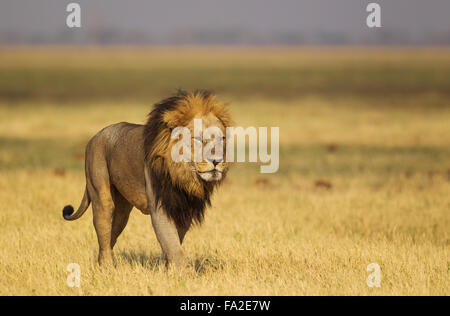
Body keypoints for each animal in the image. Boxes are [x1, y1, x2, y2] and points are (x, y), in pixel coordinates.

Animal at [61, 90, 230, 268]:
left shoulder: (183, 208)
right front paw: (185, 272)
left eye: (222, 139)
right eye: (197, 139)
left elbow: (172, 244)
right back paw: (107, 267)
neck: (184, 176)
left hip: (122, 210)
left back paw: (104, 264)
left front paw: (165, 268)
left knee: (110, 236)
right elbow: (173, 245)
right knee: (103, 230)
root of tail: (95, 136)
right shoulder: (160, 207)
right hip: (101, 194)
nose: (217, 160)